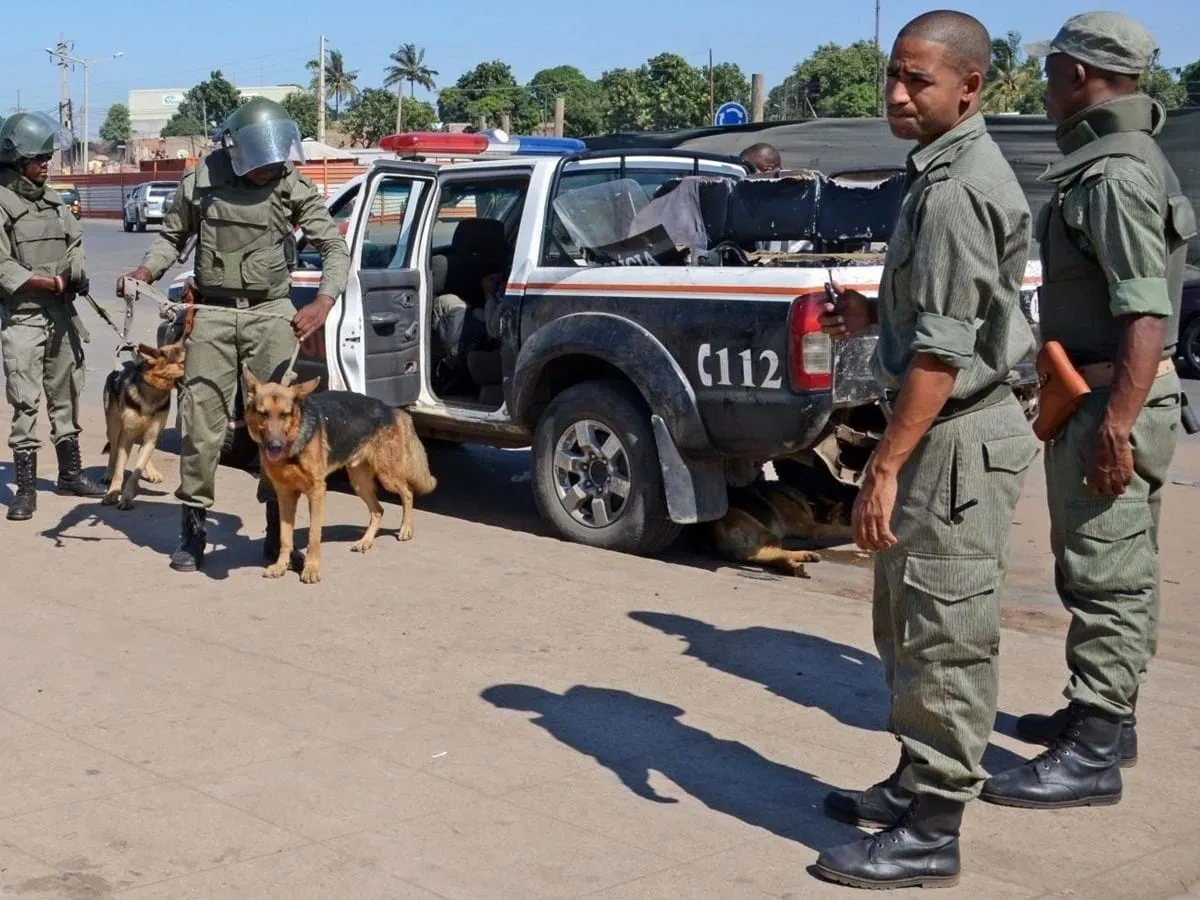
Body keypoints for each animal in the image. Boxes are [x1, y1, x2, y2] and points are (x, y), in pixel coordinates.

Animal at [102, 340, 186, 511]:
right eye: (183, 362)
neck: (154, 392)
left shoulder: (152, 435)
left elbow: (136, 472)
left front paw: (127, 497)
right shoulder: (126, 436)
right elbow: (119, 469)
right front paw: (113, 493)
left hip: (154, 434)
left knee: (142, 450)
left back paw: (152, 472)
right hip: (113, 427)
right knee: (113, 450)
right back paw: (108, 473)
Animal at [241, 367, 439, 585]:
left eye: (284, 415)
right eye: (263, 414)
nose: (275, 445)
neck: (293, 444)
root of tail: (392, 409)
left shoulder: (317, 492)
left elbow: (314, 535)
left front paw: (311, 569)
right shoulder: (284, 495)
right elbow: (285, 536)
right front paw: (280, 566)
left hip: (387, 475)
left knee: (407, 492)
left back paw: (406, 528)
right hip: (359, 483)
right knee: (378, 510)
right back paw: (365, 541)